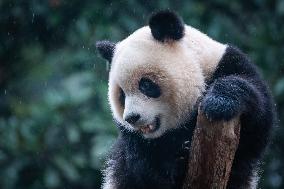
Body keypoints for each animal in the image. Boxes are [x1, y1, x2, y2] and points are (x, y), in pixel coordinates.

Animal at [95, 10, 276, 189]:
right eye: (122, 95)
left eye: (145, 84)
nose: (132, 118)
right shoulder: (132, 141)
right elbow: (144, 167)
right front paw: (179, 161)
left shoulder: (229, 63)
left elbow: (258, 130)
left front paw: (219, 102)